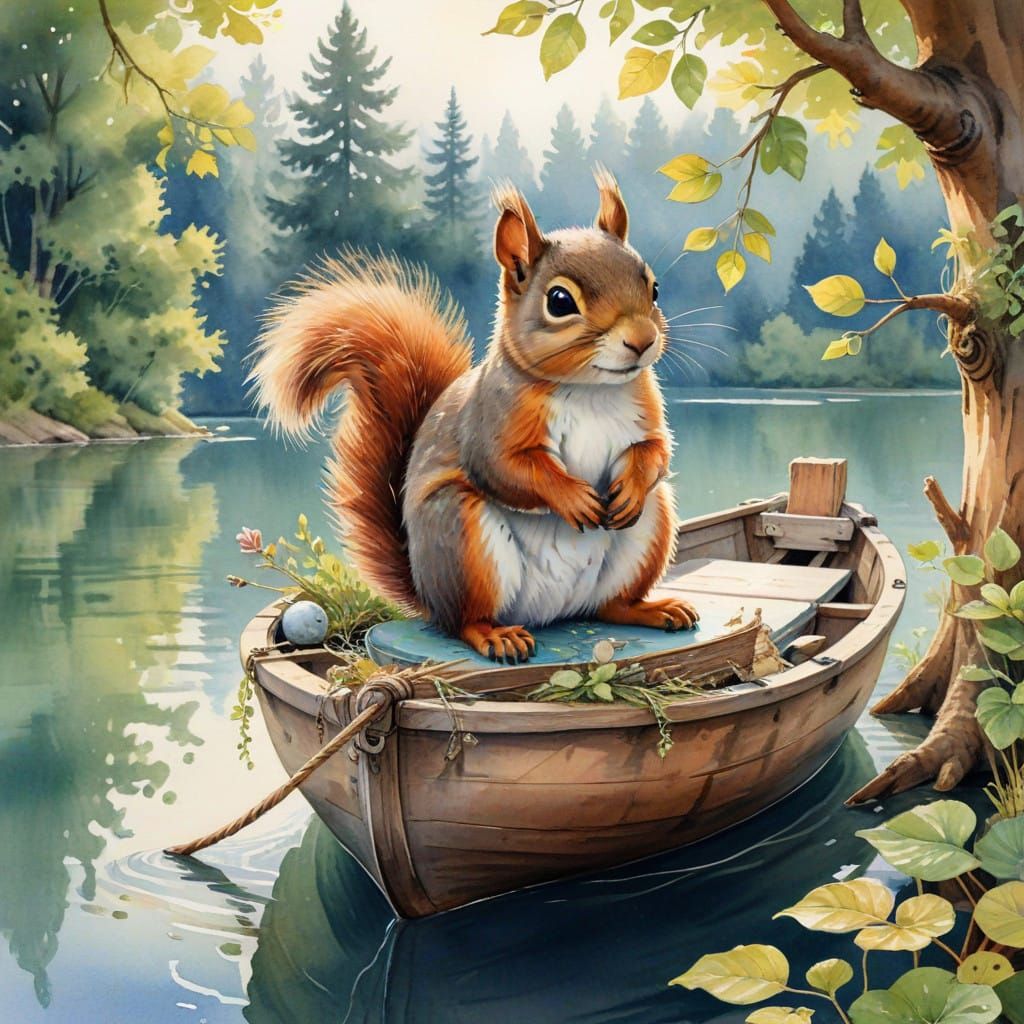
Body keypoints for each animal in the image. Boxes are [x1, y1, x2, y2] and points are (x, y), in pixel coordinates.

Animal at [251, 169, 698, 662]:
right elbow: (505, 468)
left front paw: (631, 486)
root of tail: (554, 614)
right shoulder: (490, 419)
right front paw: (572, 496)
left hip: (649, 530)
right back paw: (496, 636)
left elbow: (656, 451)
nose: (642, 340)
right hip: (462, 541)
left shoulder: (645, 410)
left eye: (653, 288)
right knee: (464, 620)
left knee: (611, 604)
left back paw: (654, 609)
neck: (589, 391)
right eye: (560, 301)